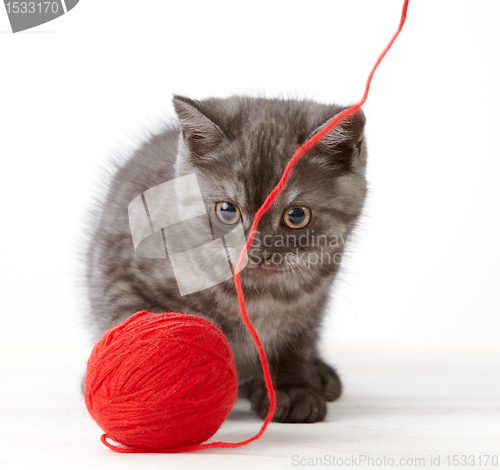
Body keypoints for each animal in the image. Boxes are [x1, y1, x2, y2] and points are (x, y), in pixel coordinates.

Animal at [86, 94, 368, 422]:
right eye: (227, 210)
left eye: (296, 215)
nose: (256, 251)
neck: (260, 293)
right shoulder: (123, 273)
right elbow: (138, 328)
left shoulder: (311, 308)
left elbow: (294, 344)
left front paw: (292, 387)